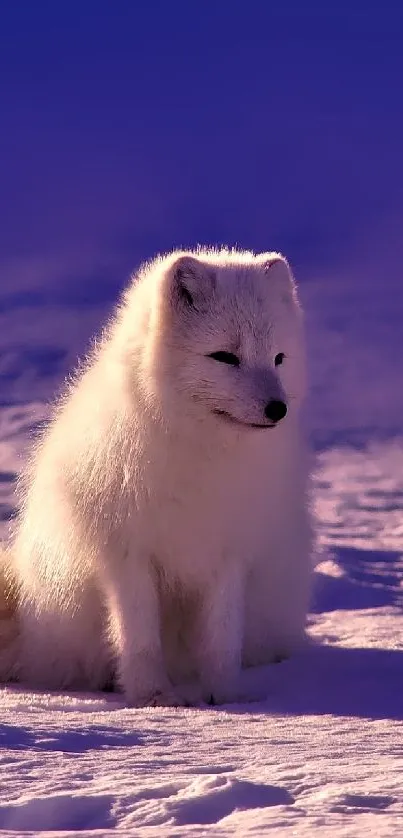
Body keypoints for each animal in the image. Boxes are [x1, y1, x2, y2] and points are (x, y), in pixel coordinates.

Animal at [0, 249, 312, 708]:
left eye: (278, 358)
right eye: (225, 357)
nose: (278, 409)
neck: (203, 456)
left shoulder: (229, 553)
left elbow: (222, 638)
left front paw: (226, 695)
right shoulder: (127, 554)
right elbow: (139, 636)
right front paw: (153, 696)